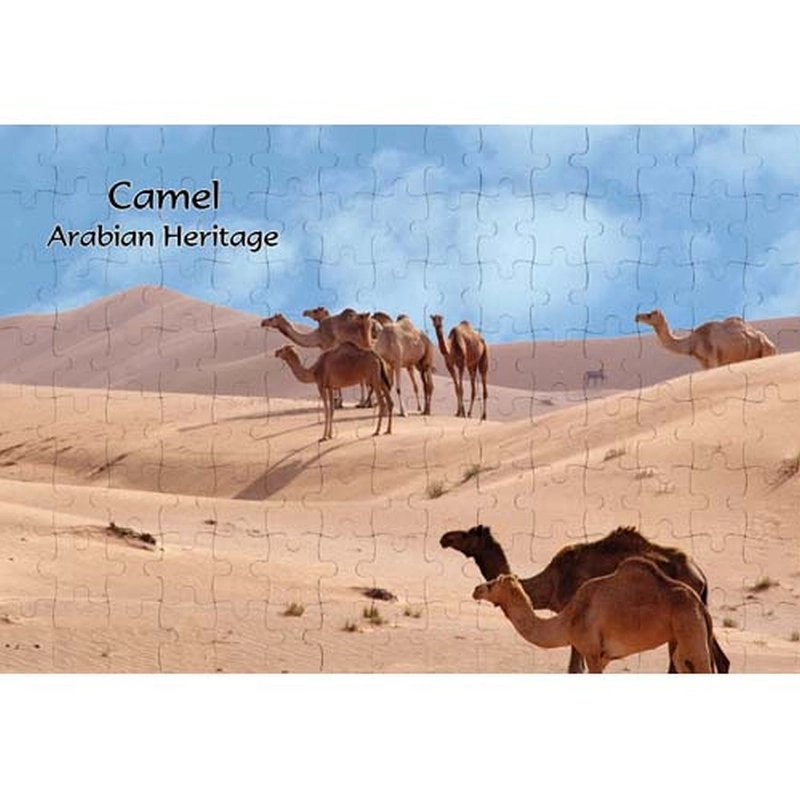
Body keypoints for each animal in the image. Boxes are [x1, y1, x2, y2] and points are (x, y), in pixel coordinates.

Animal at [473, 562, 715, 673]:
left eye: (492, 584)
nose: (476, 589)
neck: (568, 620)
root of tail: (700, 604)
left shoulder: (591, 652)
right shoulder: (604, 657)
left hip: (690, 627)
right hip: (681, 638)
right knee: (682, 662)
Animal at [634, 309, 777, 370]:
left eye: (649, 315)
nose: (637, 316)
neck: (693, 342)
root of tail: (774, 345)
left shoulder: (713, 357)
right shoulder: (703, 363)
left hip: (766, 350)